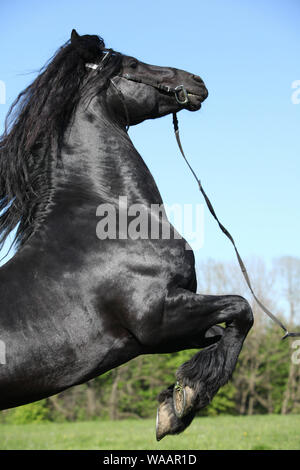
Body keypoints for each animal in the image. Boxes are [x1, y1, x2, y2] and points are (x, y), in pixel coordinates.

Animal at [0, 31, 253, 438]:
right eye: (133, 64)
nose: (197, 81)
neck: (111, 215)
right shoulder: (159, 318)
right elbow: (242, 310)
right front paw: (184, 401)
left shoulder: (165, 332)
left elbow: (220, 333)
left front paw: (175, 402)